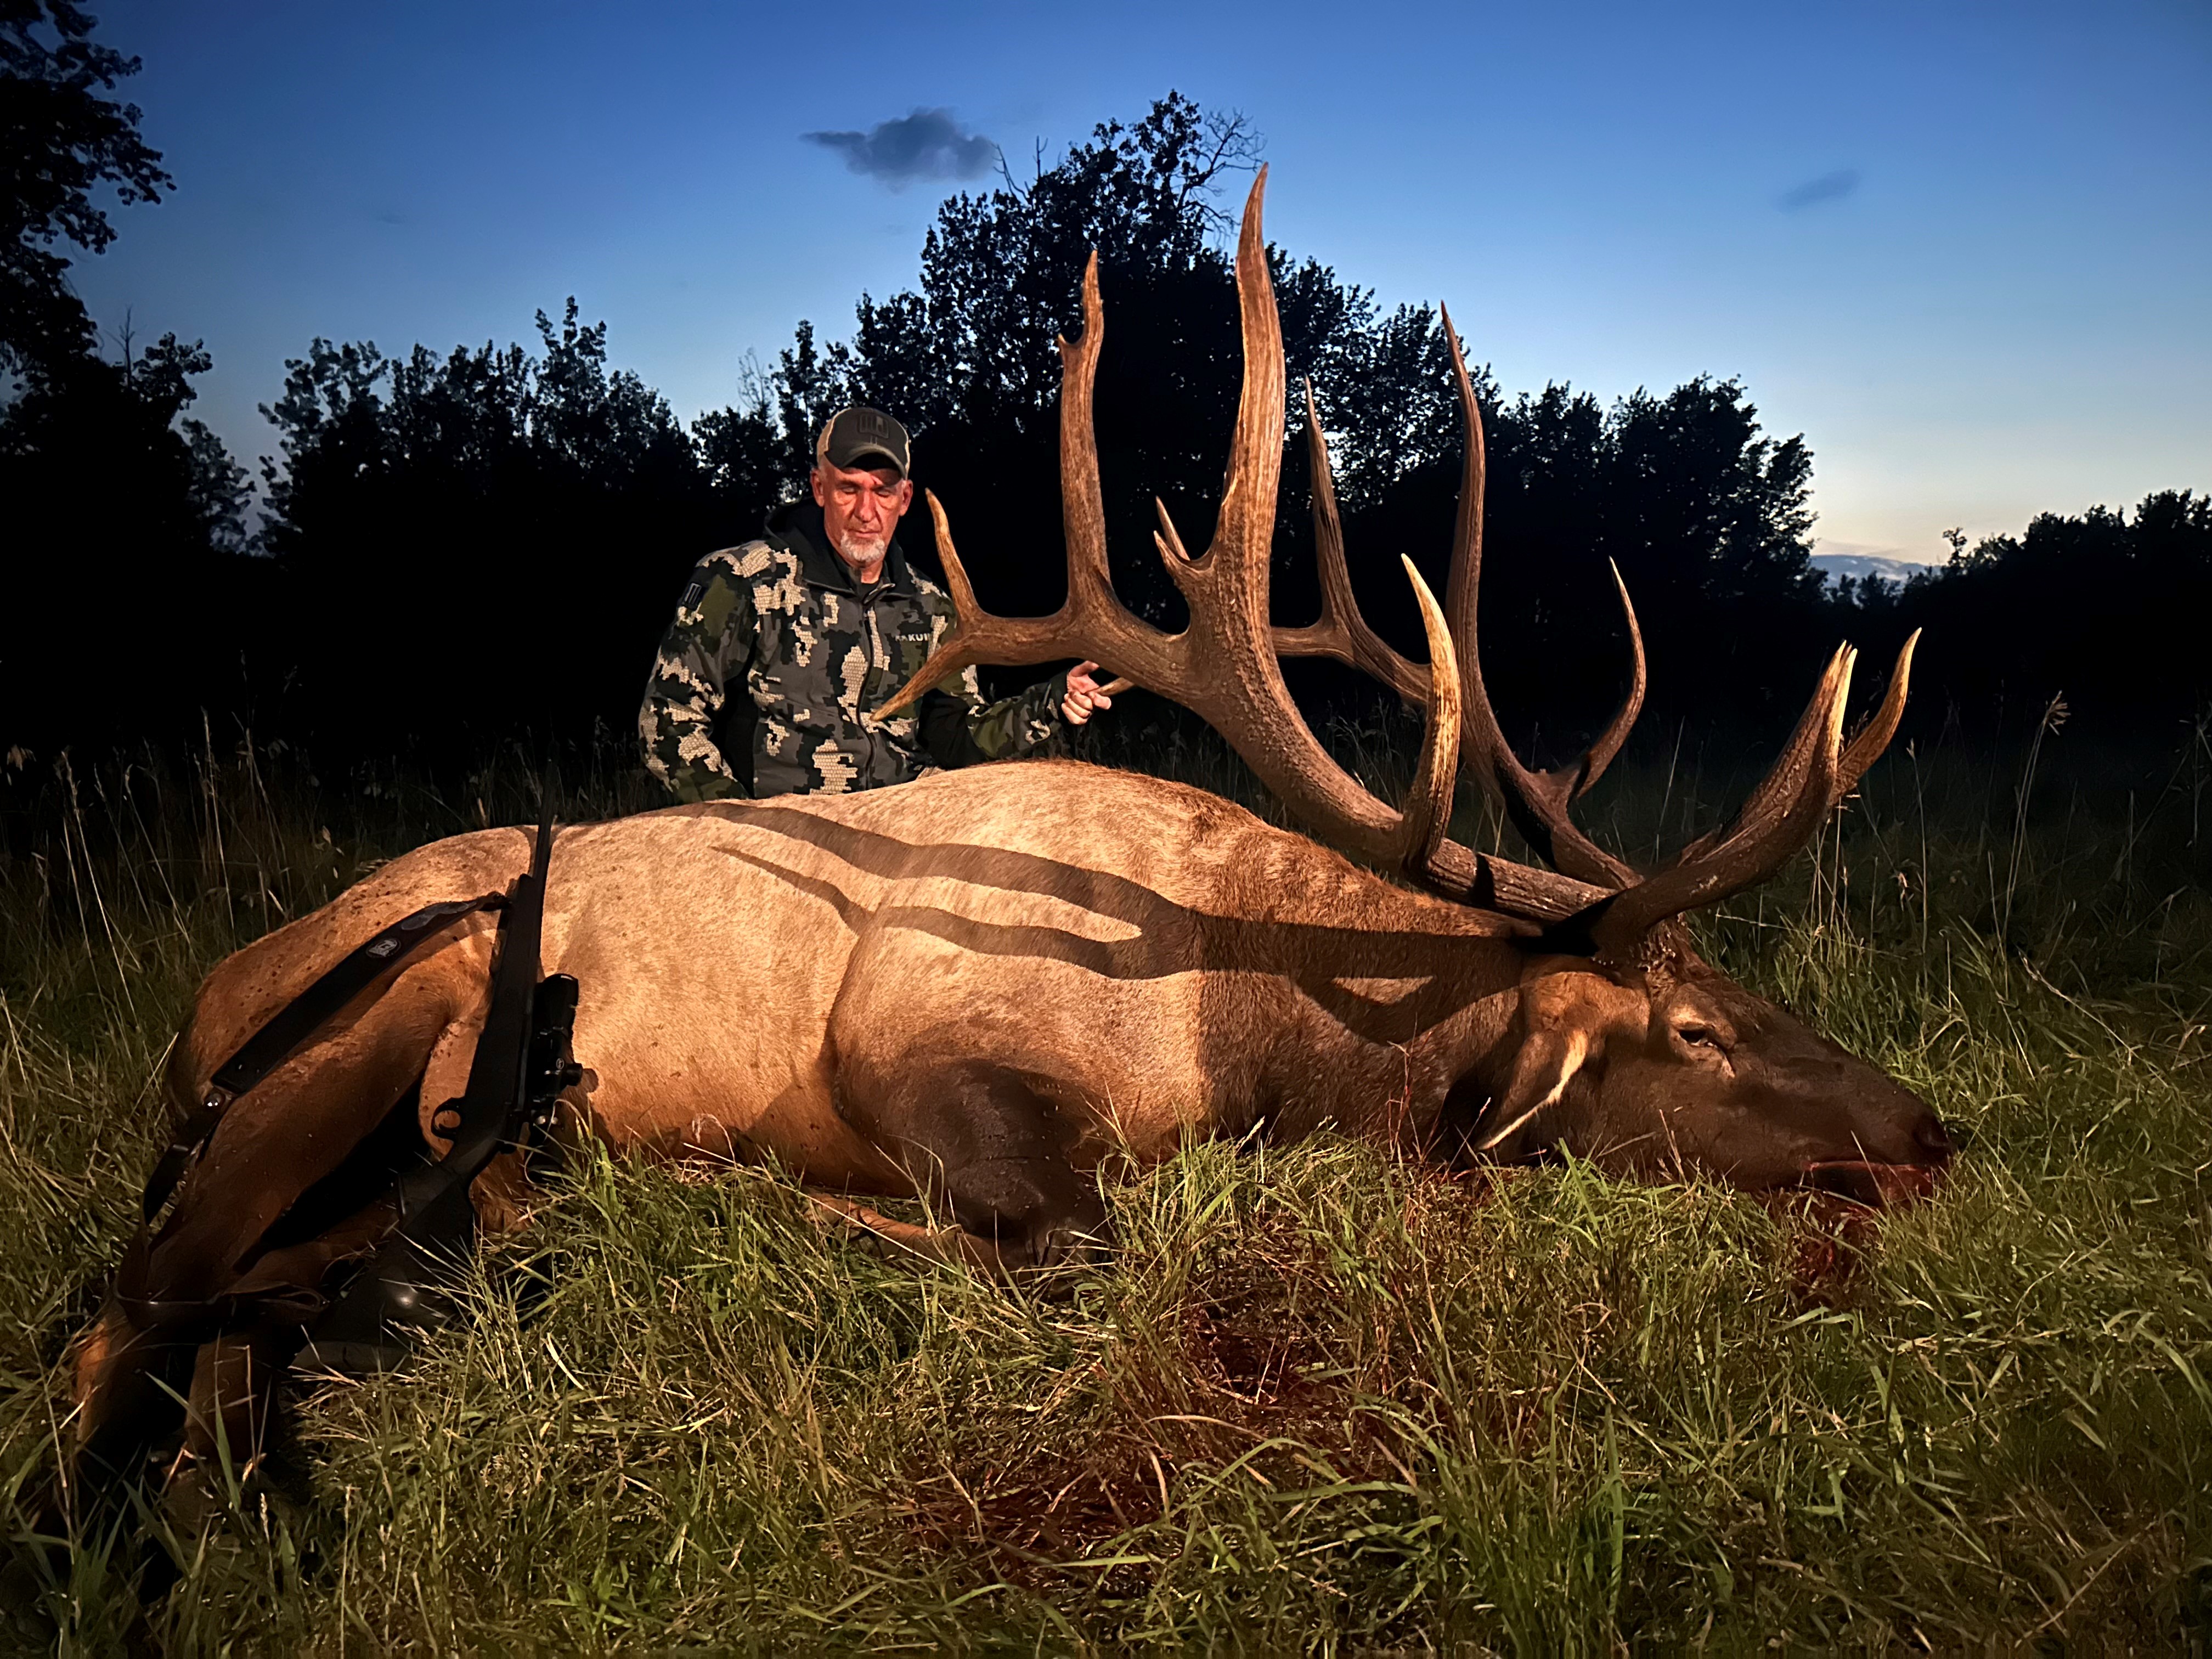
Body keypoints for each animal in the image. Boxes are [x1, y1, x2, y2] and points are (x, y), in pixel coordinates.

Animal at [64, 169, 1948, 1500]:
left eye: (1751, 989)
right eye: (1692, 1031)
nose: (1932, 1134)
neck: (1252, 1027)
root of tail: (192, 1012)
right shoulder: (908, 1048)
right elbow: (1088, 1246)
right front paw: (784, 1213)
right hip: (373, 1014)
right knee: (132, 1297)